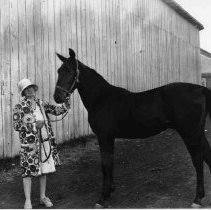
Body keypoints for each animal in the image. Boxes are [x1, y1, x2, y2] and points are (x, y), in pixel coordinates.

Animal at [54, 48, 211, 208]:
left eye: (70, 71)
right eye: (59, 71)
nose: (57, 97)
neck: (101, 98)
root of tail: (201, 89)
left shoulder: (104, 136)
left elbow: (105, 164)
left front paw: (102, 198)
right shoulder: (110, 137)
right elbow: (110, 162)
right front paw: (110, 190)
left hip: (190, 134)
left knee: (198, 160)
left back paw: (197, 199)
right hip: (198, 133)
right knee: (207, 155)